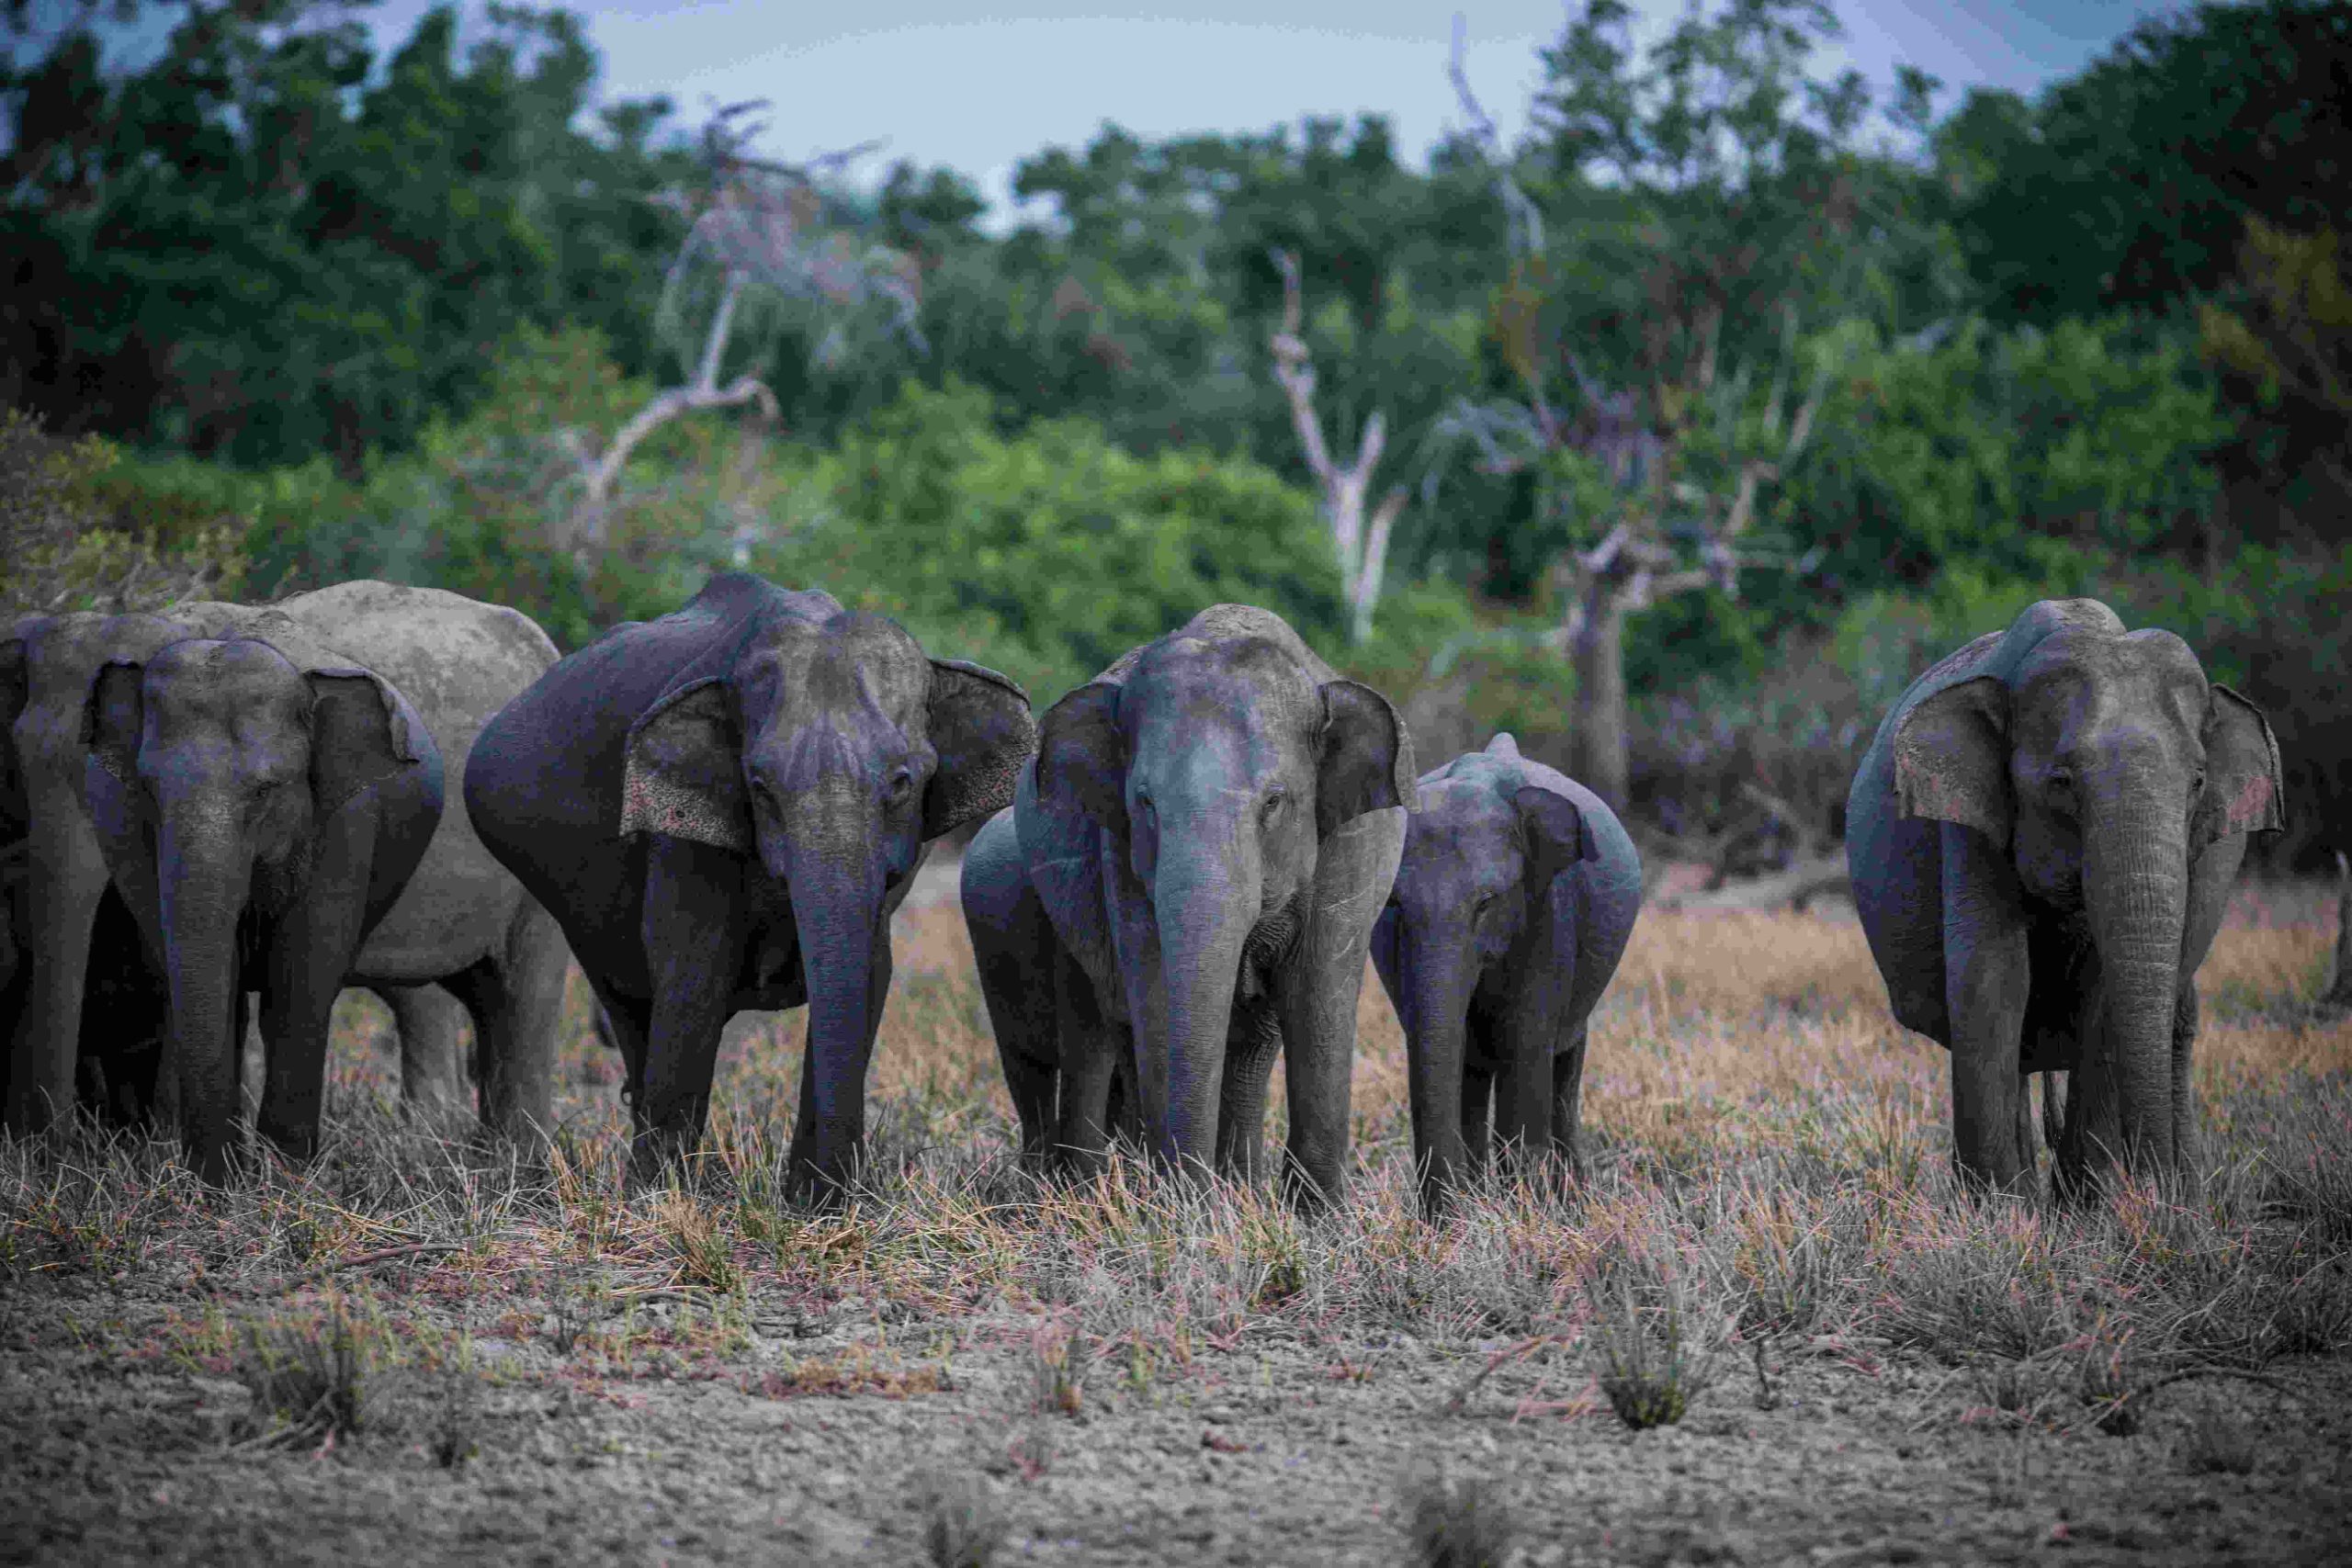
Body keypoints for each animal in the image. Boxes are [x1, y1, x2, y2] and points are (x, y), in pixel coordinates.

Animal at [79, 582, 572, 1181]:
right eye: (148, 790)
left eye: (267, 790)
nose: (212, 1178)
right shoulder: (119, 819)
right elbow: (209, 981)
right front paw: (217, 1182)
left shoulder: (348, 818)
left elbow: (300, 977)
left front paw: (283, 1180)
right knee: (485, 1000)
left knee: (523, 996)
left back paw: (521, 1169)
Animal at [462, 573, 1036, 1200]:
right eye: (759, 787)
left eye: (902, 783)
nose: (840, 1190)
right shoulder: (684, 837)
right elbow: (694, 978)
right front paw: (665, 1200)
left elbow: (870, 975)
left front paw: (815, 1205)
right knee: (631, 1006)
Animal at [962, 604, 1414, 1204]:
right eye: (1145, 802)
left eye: (1274, 802)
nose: (1189, 1188)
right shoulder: (1120, 857)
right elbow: (1155, 991)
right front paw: (1183, 1208)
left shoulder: (1353, 845)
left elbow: (1319, 992)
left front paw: (1316, 1217)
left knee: (1249, 1050)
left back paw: (1235, 1186)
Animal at [1369, 734, 1642, 1212]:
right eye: (1395, 904)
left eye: (1486, 903)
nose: (1438, 1220)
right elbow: (1452, 1050)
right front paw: (1472, 1213)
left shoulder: (1549, 912)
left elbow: (1525, 1041)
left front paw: (1528, 1210)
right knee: (1476, 1072)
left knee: (1564, 1063)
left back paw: (1573, 1201)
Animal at [1846, 598, 2284, 1194]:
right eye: (2061, 782)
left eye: (2198, 782)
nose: (2155, 1186)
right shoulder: (1970, 821)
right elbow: (1992, 977)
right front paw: (2000, 1209)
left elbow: (2106, 992)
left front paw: (2087, 1205)